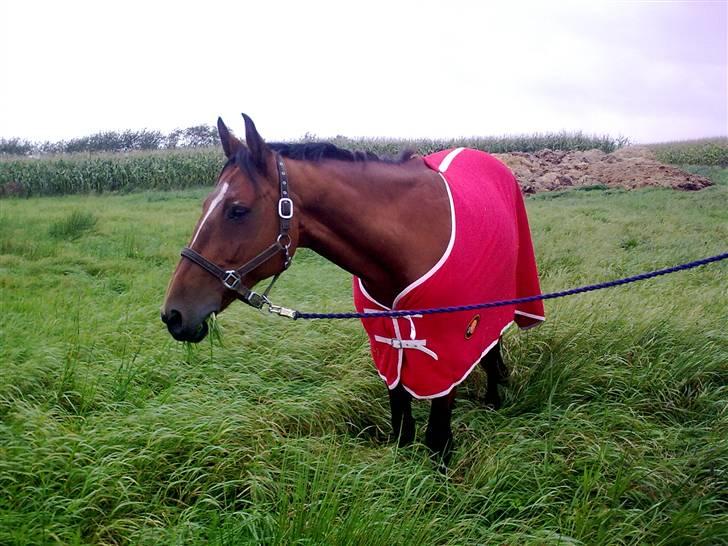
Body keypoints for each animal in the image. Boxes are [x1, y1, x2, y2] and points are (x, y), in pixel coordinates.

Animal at [162, 115, 544, 464]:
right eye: (205, 205)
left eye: (238, 210)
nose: (173, 314)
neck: (411, 239)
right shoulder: (388, 344)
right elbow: (401, 423)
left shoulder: (447, 348)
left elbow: (437, 436)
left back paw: (494, 397)